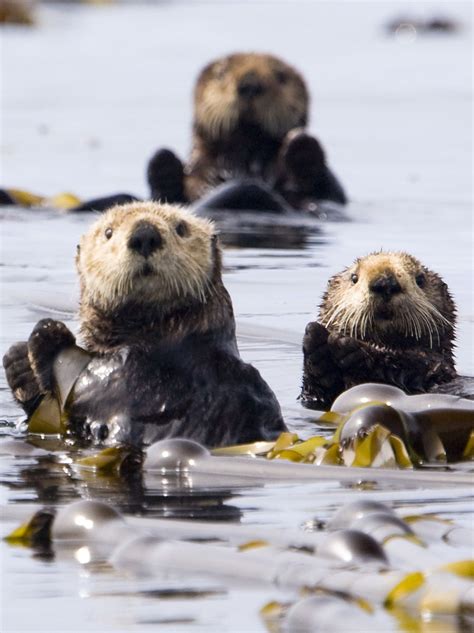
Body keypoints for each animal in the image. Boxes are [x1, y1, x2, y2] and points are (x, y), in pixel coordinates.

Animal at [2, 201, 286, 444]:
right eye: (108, 232)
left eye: (181, 228)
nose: (145, 234)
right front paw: (18, 361)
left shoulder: (131, 378)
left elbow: (92, 382)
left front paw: (48, 335)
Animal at [300, 252, 470, 410]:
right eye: (354, 277)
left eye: (420, 279)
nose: (385, 283)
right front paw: (316, 343)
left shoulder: (433, 367)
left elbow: (399, 365)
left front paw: (347, 346)